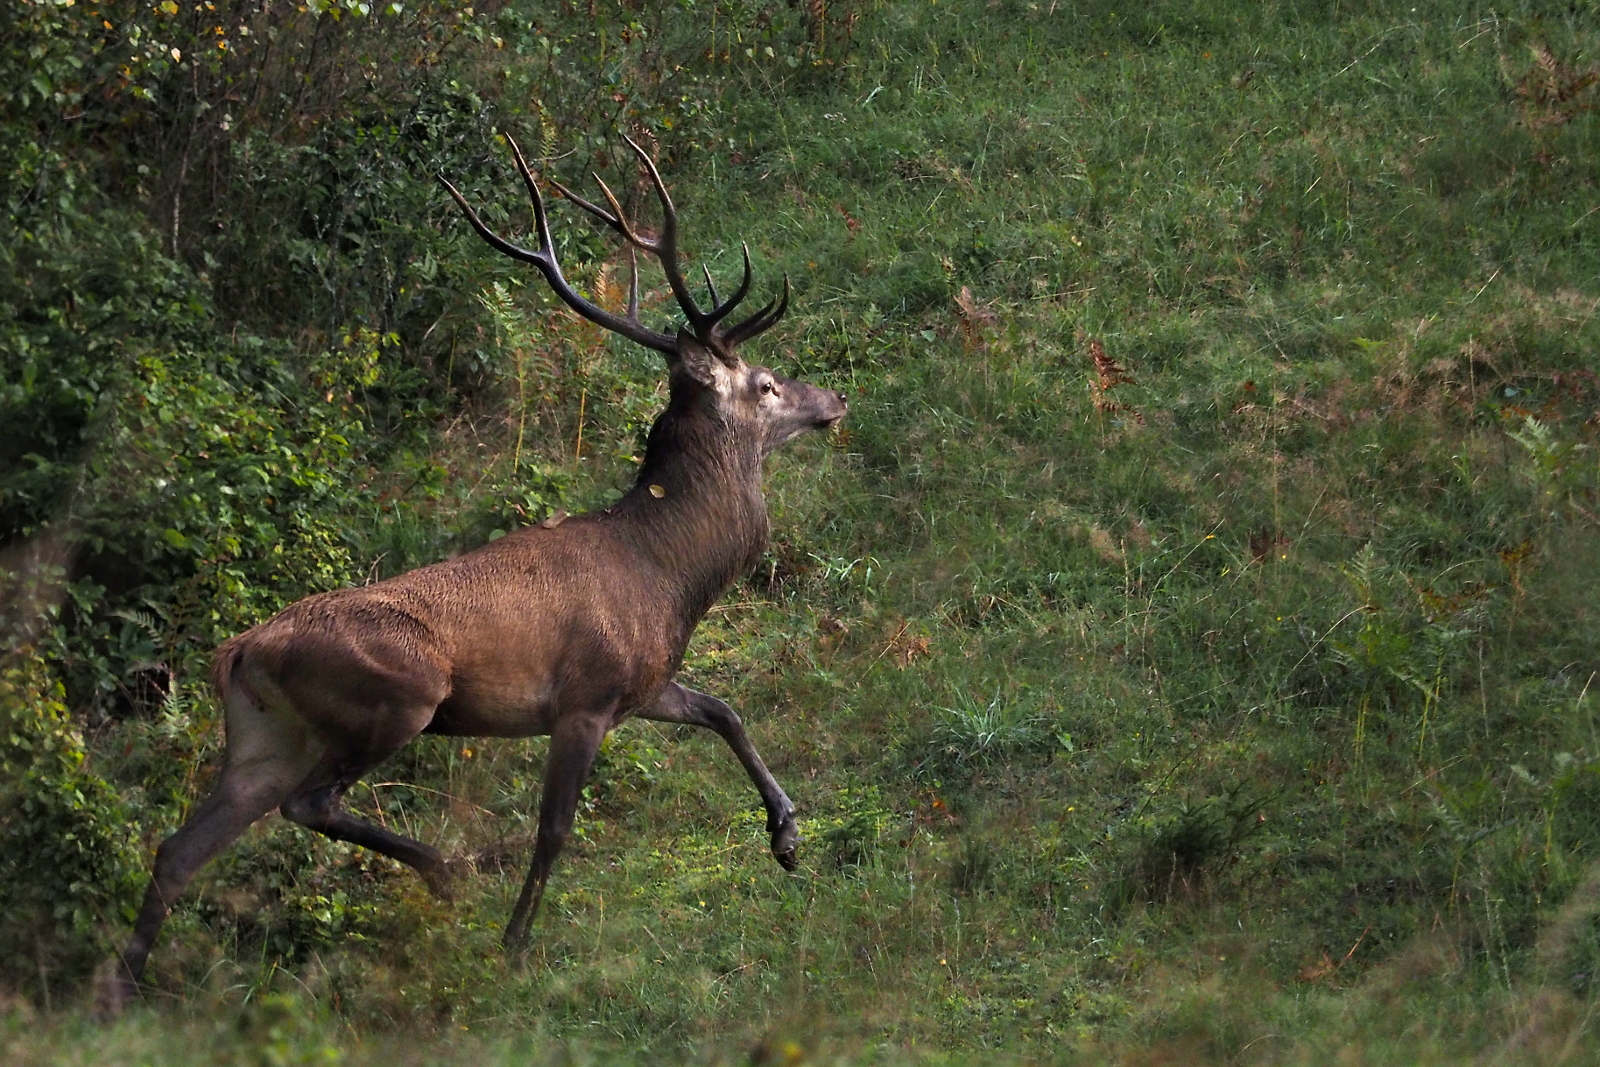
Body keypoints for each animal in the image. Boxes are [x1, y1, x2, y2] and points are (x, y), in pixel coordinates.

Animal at [113, 134, 847, 999]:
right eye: (767, 384)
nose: (832, 398)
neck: (671, 575)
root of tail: (237, 651)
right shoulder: (586, 695)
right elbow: (555, 827)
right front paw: (515, 941)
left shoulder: (644, 683)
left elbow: (725, 710)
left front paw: (787, 835)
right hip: (397, 694)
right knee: (309, 804)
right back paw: (443, 870)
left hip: (263, 734)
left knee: (179, 847)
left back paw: (122, 990)